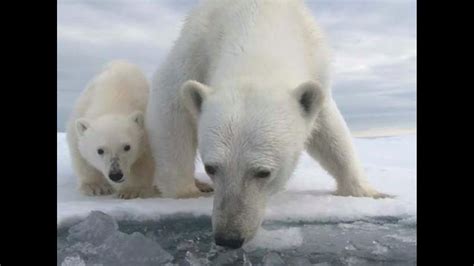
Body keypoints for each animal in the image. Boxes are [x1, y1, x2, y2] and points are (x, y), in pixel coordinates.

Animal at [146, 0, 386, 248]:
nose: (229, 238)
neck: (258, 16)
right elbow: (171, 109)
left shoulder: (316, 64)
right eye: (210, 167)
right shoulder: (193, 50)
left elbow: (331, 132)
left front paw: (369, 192)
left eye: (263, 172)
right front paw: (188, 194)